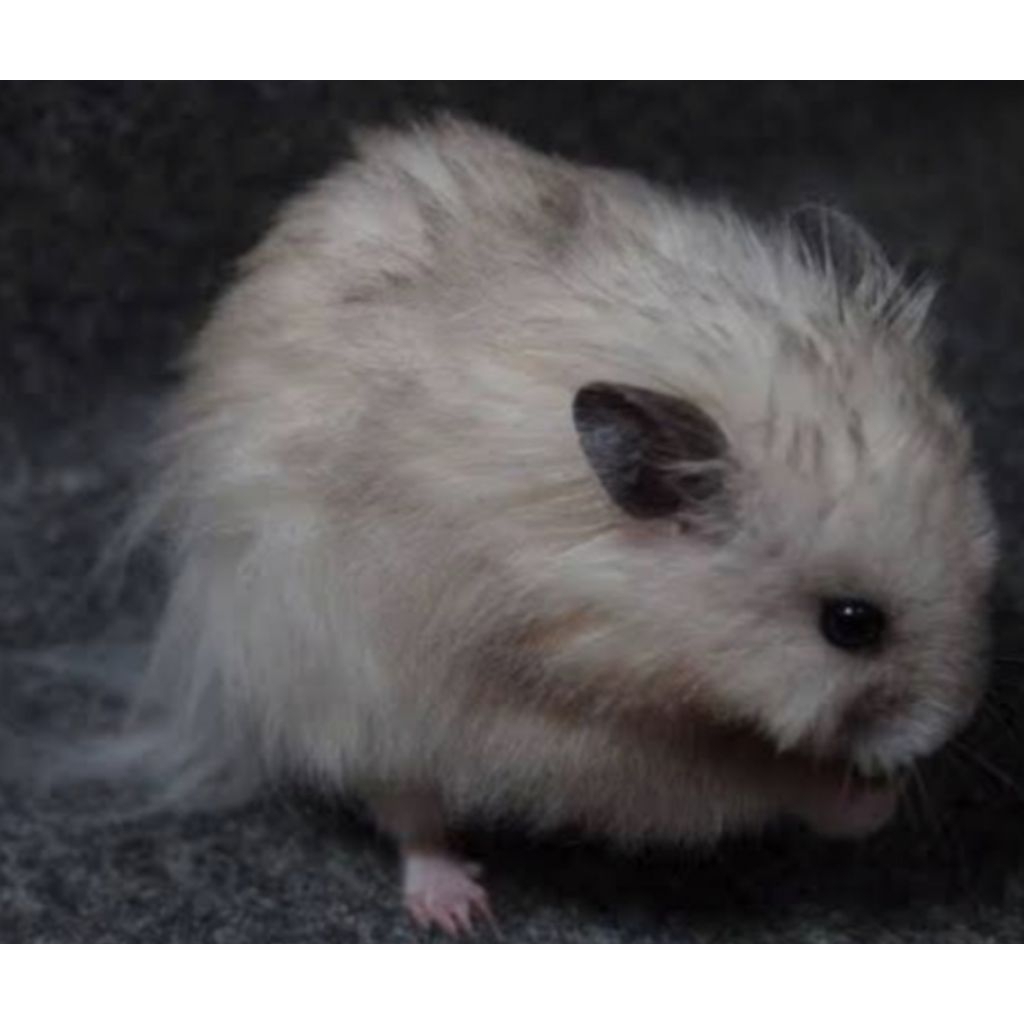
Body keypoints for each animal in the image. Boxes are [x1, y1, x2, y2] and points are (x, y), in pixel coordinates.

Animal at [125, 117, 997, 934]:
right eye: (851, 624)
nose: (945, 730)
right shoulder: (567, 736)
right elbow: (750, 781)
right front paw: (871, 800)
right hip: (347, 694)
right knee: (408, 813)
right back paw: (456, 908)